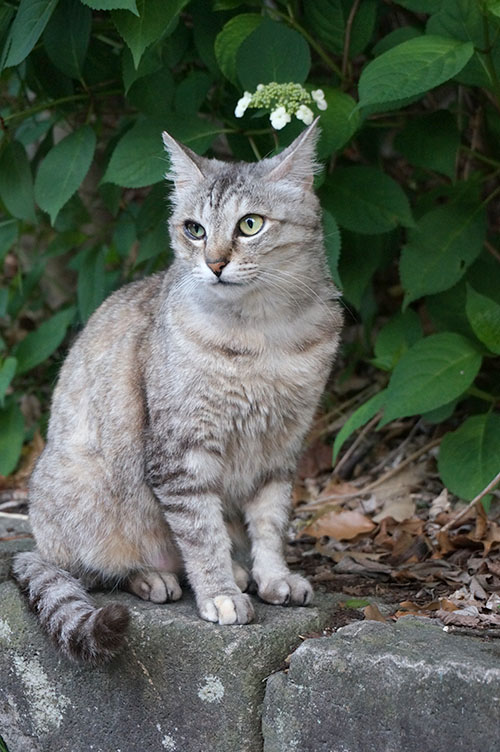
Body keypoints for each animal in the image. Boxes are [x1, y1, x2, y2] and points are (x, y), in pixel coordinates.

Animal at [13, 122, 346, 664]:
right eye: (194, 229)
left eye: (250, 225)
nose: (214, 263)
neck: (262, 335)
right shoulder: (181, 453)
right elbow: (201, 533)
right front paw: (219, 595)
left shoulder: (281, 447)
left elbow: (269, 523)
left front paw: (272, 577)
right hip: (84, 497)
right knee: (95, 572)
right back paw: (157, 577)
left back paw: (239, 571)